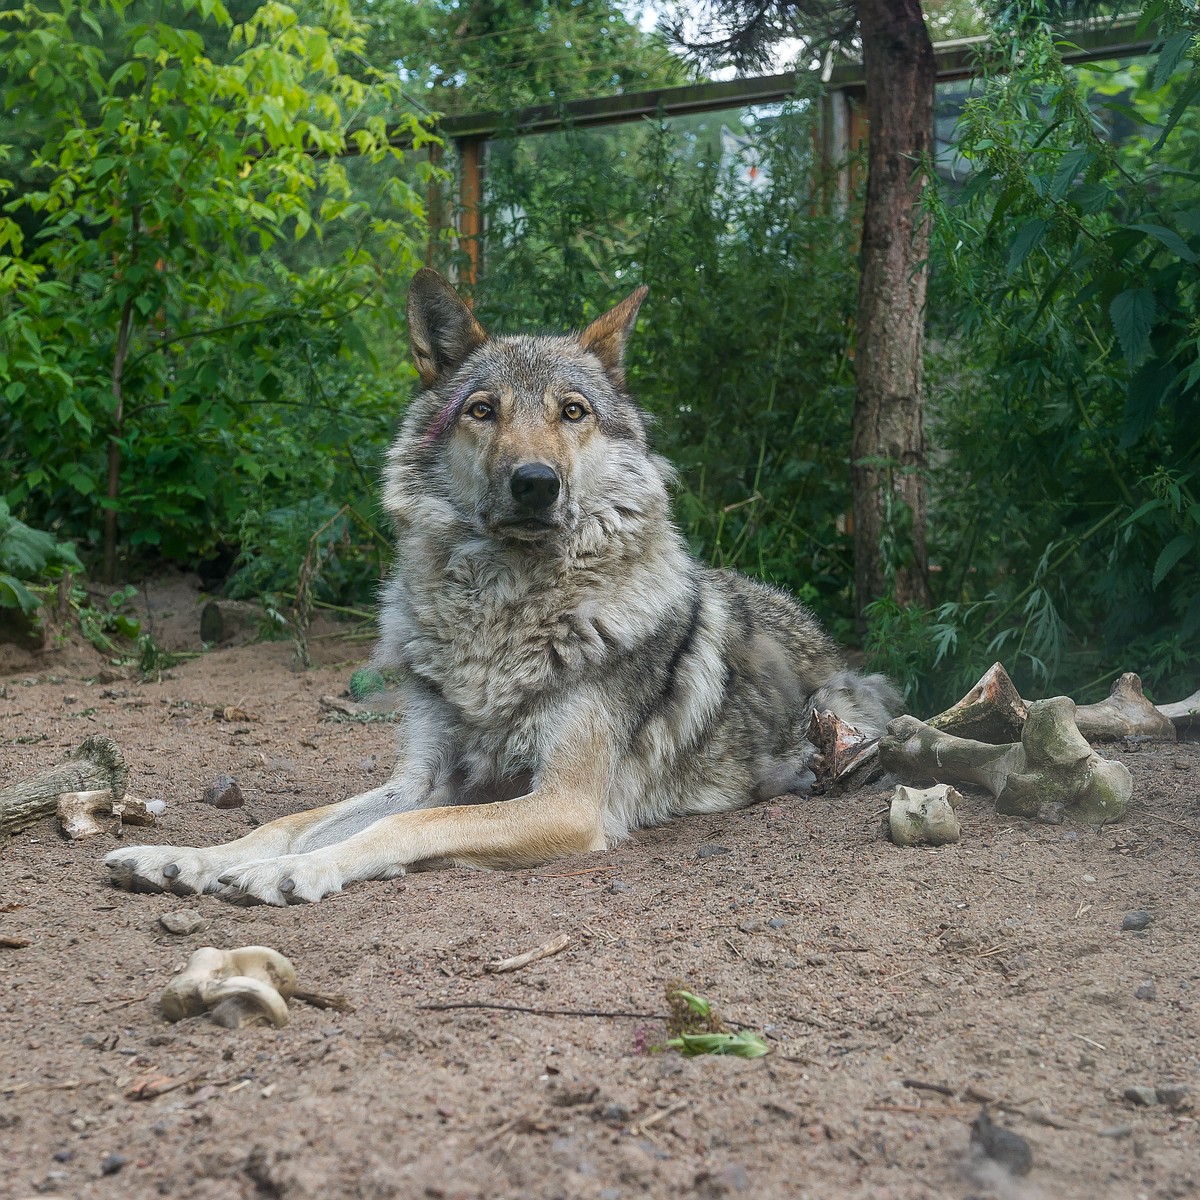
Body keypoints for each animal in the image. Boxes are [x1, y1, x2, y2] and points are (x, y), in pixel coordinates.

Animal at [105, 265, 902, 902]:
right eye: (482, 410)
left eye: (572, 412)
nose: (535, 483)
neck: (500, 618)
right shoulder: (422, 776)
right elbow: (291, 821)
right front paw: (190, 857)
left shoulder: (564, 805)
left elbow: (404, 829)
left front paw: (289, 873)